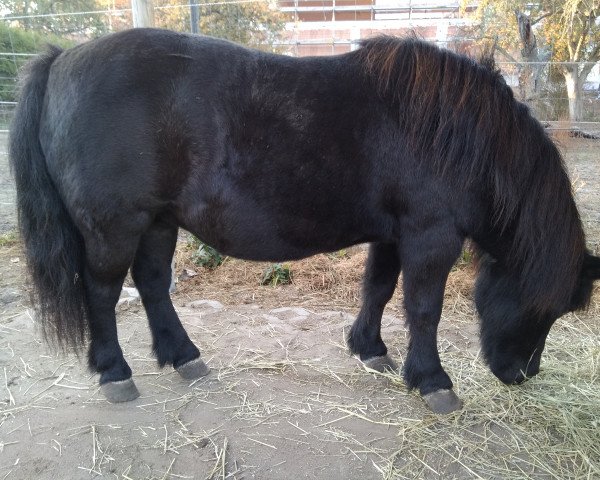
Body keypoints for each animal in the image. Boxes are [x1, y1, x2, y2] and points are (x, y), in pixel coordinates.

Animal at [10, 29, 600, 412]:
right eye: (546, 307)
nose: (520, 374)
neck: (453, 134)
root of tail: (61, 60)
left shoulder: (393, 235)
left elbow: (379, 289)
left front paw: (370, 349)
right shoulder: (430, 237)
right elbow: (424, 309)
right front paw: (432, 381)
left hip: (157, 221)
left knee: (153, 285)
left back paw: (184, 358)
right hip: (115, 227)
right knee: (102, 294)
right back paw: (115, 372)